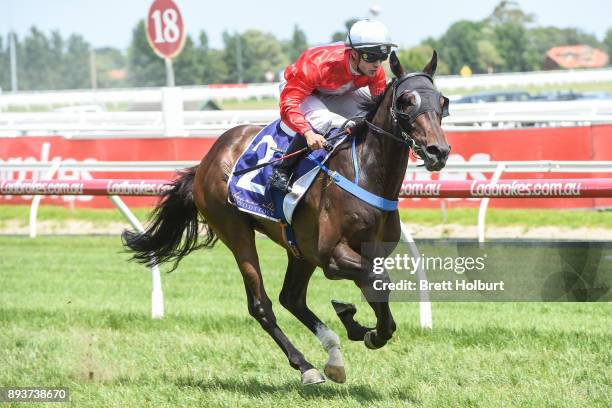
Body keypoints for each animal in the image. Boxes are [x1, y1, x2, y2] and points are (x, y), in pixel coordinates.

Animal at [123, 51, 450, 386]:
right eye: (407, 101)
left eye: (442, 101)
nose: (438, 151)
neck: (366, 173)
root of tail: (206, 160)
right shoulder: (331, 255)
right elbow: (378, 282)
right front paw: (365, 329)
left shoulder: (366, 252)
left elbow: (375, 287)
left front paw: (356, 323)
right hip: (237, 232)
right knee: (262, 305)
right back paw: (306, 366)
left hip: (299, 247)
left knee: (290, 298)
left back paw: (333, 355)